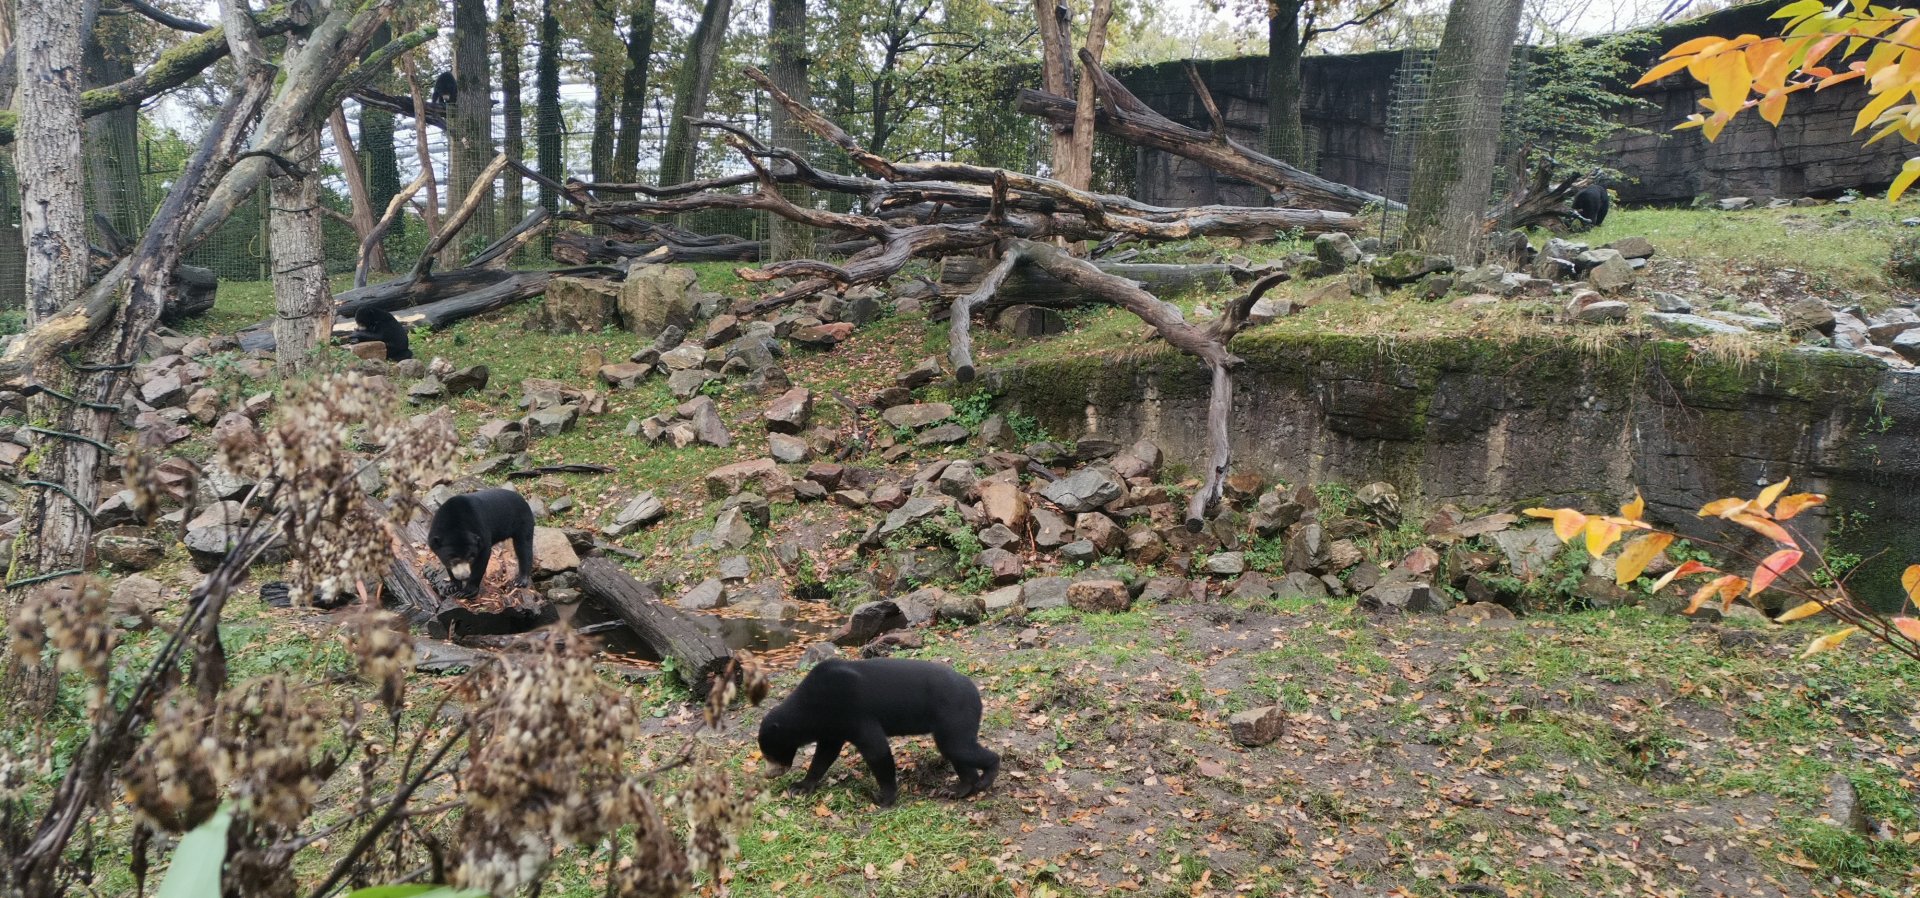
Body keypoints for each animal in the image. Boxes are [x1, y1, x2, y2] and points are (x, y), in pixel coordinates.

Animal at [758, 658, 999, 807]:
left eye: (769, 753)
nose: (768, 774)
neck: (811, 706)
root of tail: (975, 691)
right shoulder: (833, 726)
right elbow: (824, 756)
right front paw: (799, 787)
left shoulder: (853, 710)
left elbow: (876, 750)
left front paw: (883, 797)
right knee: (956, 752)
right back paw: (957, 790)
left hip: (954, 714)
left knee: (960, 747)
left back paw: (987, 777)